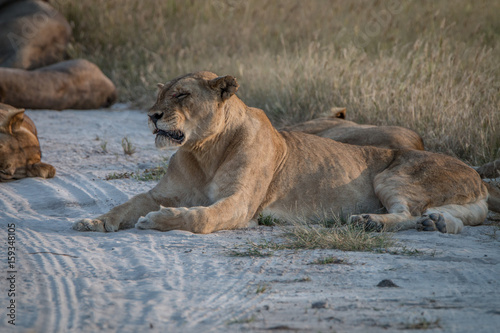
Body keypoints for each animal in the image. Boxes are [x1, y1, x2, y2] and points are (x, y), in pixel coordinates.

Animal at [73, 70, 496, 233]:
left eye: (181, 95)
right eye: (160, 94)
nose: (151, 115)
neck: (203, 150)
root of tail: (476, 175)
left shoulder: (241, 203)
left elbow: (201, 217)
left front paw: (159, 221)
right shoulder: (158, 192)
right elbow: (124, 205)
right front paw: (94, 222)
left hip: (392, 174)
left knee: (407, 213)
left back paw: (370, 222)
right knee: (441, 217)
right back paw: (436, 222)